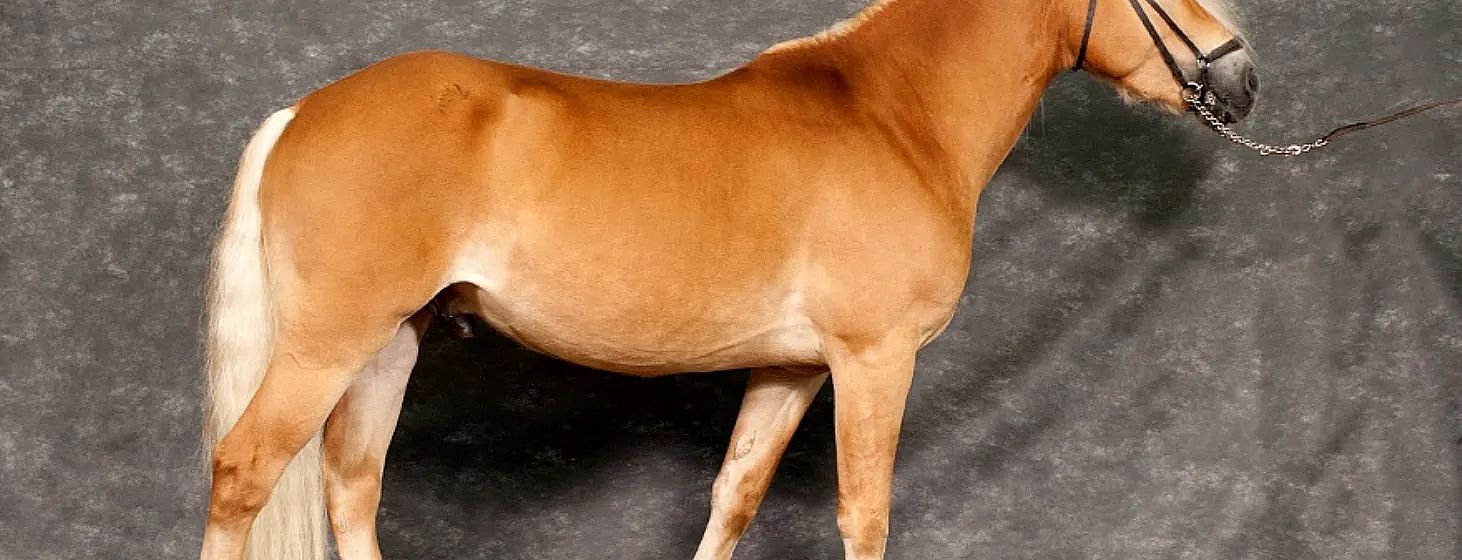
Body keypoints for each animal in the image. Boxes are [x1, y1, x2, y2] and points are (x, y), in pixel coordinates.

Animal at [198, 1, 1256, 558]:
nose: (1244, 77)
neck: (891, 117)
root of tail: (302, 112)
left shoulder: (791, 370)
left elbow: (735, 494)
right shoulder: (874, 362)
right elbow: (865, 512)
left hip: (391, 345)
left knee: (351, 487)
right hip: (329, 346)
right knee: (245, 472)